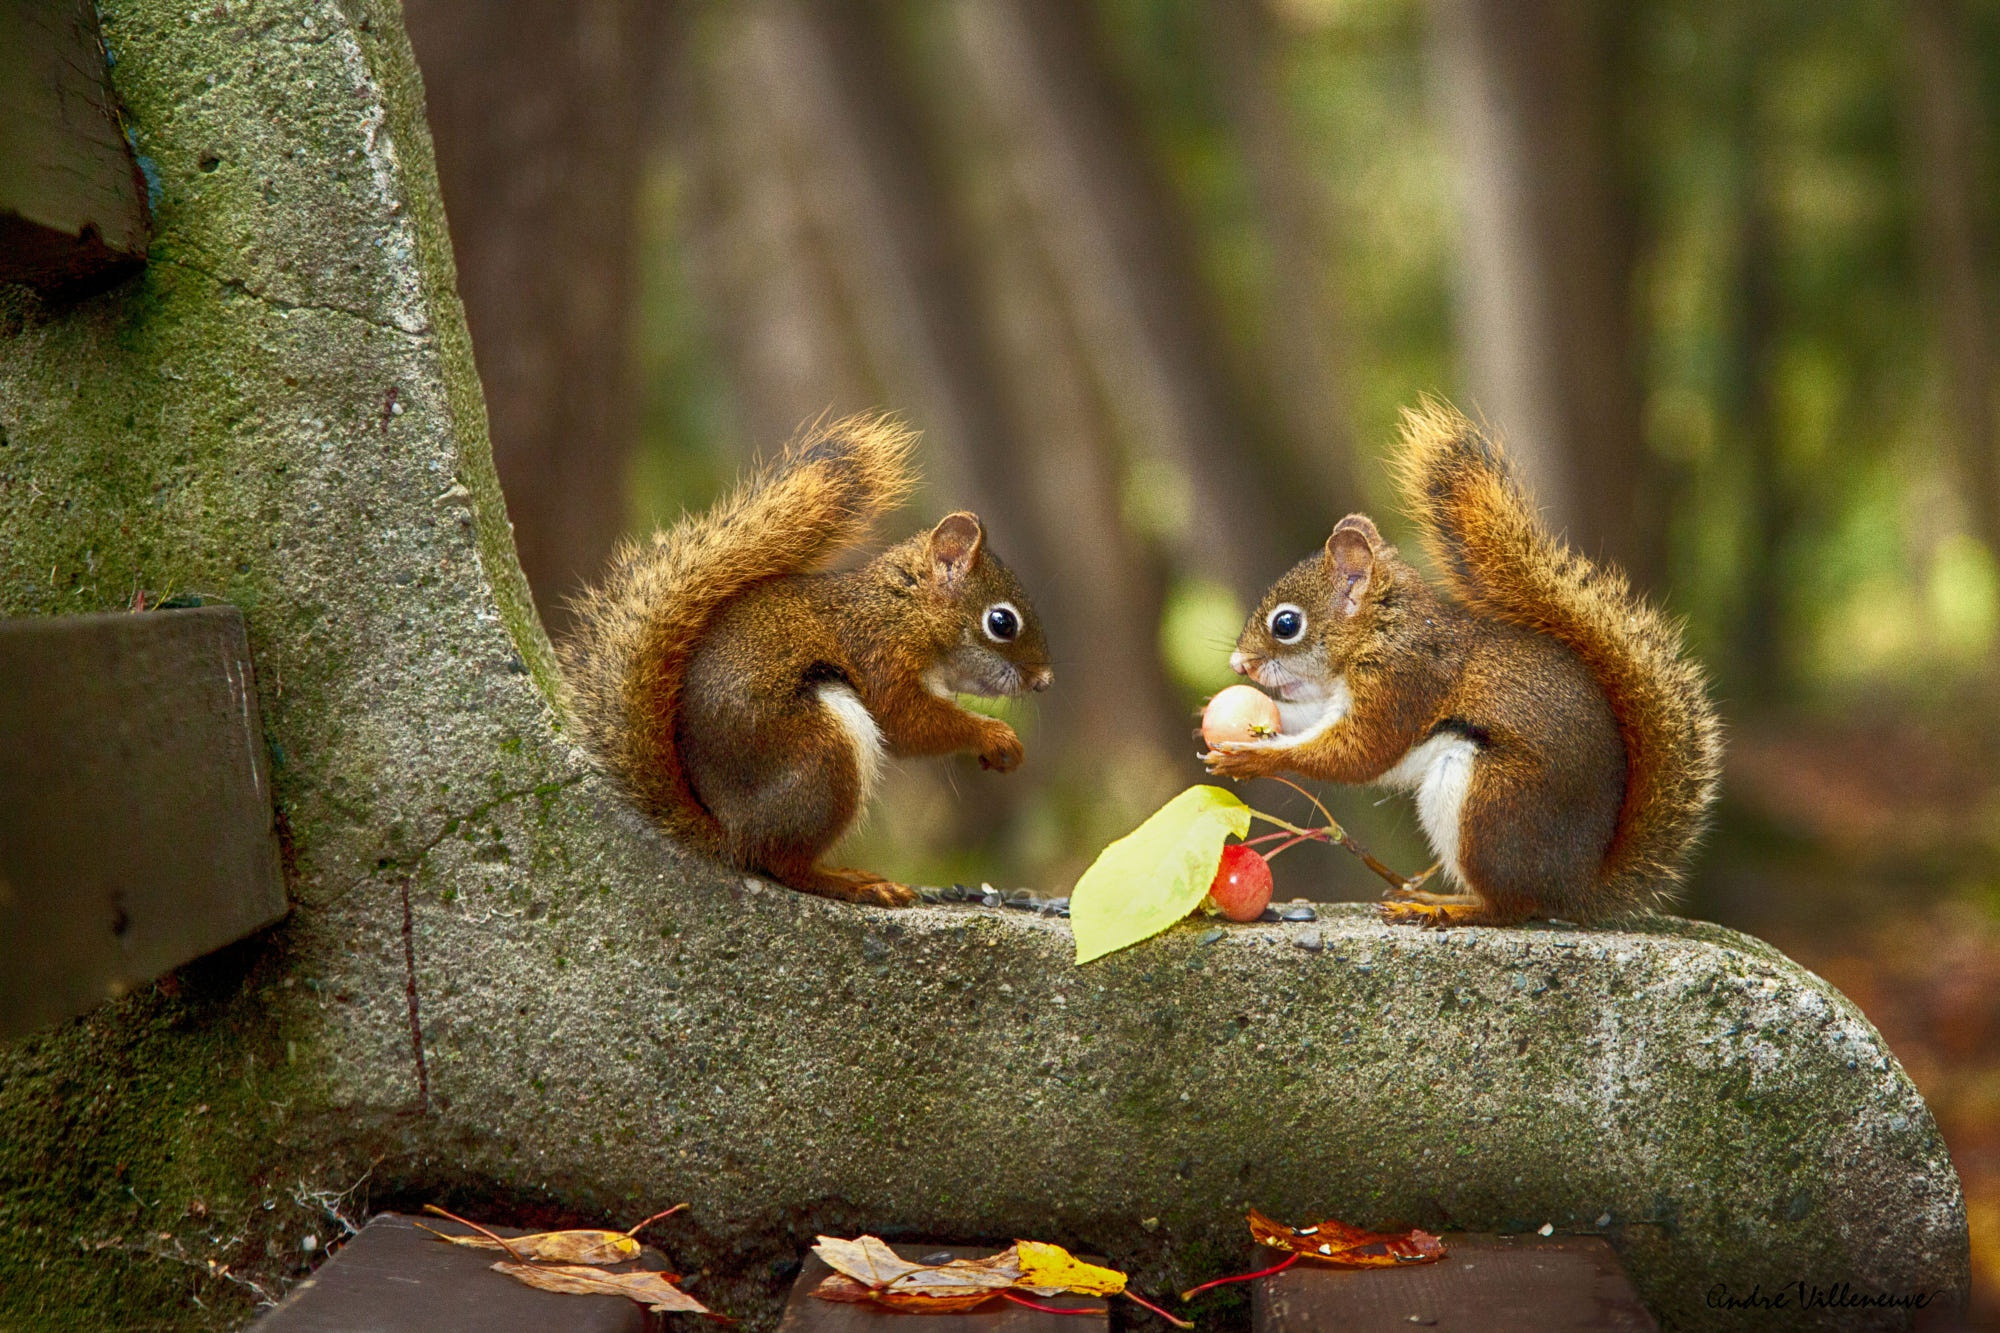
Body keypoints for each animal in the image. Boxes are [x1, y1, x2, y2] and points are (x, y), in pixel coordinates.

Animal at [560, 416, 1056, 908]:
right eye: (1001, 622)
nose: (1044, 681)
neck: (906, 610)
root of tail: (731, 834)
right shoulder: (881, 655)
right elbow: (909, 724)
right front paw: (995, 736)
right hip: (823, 752)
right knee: (783, 864)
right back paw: (852, 883)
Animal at [1200, 400, 1720, 928]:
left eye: (1286, 624)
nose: (1239, 664)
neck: (1380, 630)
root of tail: (1574, 889)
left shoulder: (1403, 682)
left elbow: (1358, 753)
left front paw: (1252, 758)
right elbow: (1308, 719)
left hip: (1487, 801)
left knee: (1508, 908)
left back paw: (1440, 907)